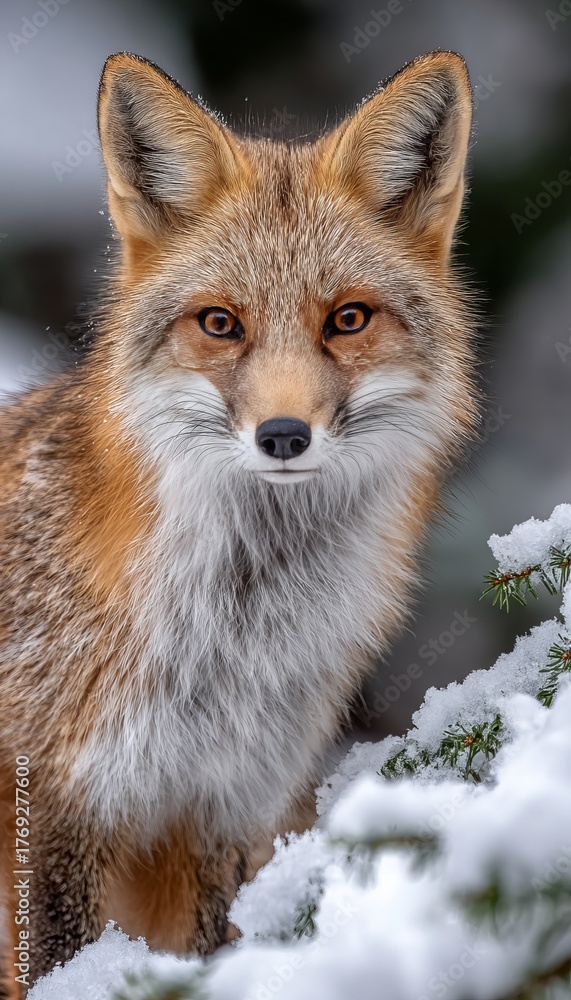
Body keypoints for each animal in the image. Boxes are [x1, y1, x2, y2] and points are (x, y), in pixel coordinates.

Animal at [0, 49, 477, 995]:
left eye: (347, 319)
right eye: (220, 323)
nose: (283, 434)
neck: (231, 638)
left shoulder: (220, 803)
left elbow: (204, 951)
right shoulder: (57, 799)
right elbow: (53, 963)